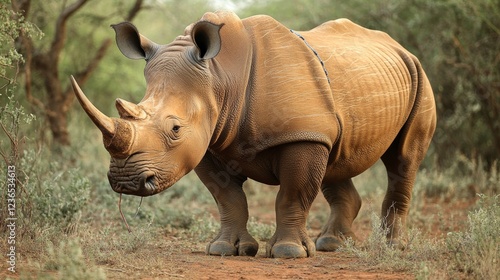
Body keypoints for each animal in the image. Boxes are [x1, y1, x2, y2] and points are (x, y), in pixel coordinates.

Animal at [70, 12, 434, 260]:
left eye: (175, 129)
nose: (125, 182)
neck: (220, 77)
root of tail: (398, 46)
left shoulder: (299, 136)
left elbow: (292, 193)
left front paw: (288, 253)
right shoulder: (209, 142)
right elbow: (227, 198)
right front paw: (224, 249)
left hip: (418, 74)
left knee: (403, 161)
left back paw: (392, 246)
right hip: (338, 106)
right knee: (335, 155)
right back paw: (330, 244)